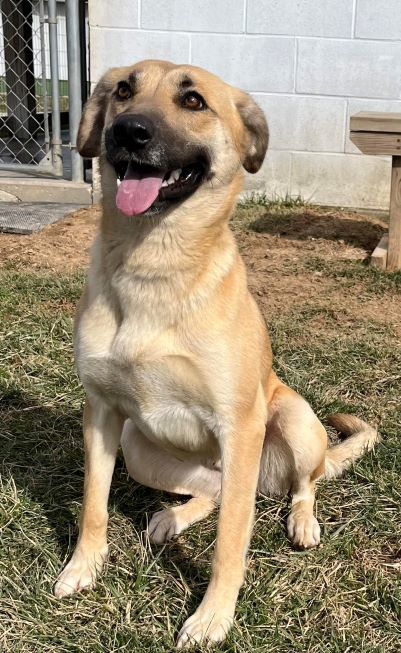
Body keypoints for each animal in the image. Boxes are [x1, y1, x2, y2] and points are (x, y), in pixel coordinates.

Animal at [54, 61, 378, 648]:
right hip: (139, 447)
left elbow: (231, 543)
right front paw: (83, 568)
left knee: (301, 484)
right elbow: (93, 504)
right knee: (217, 493)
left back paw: (301, 520)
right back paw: (171, 518)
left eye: (193, 100)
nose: (128, 131)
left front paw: (212, 618)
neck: (154, 265)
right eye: (124, 90)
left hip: (292, 418)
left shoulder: (239, 423)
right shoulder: (101, 413)